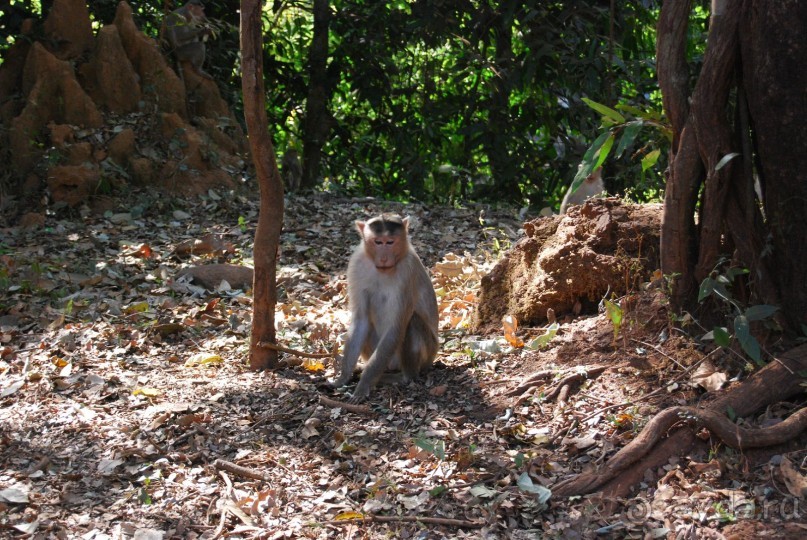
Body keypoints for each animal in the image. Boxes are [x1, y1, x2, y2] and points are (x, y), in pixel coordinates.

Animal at [332, 213, 438, 402]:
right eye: (378, 242)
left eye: (390, 242)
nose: (383, 258)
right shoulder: (356, 264)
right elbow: (361, 320)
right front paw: (343, 377)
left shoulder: (407, 272)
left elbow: (396, 327)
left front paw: (364, 385)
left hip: (428, 353)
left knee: (412, 321)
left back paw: (402, 377)